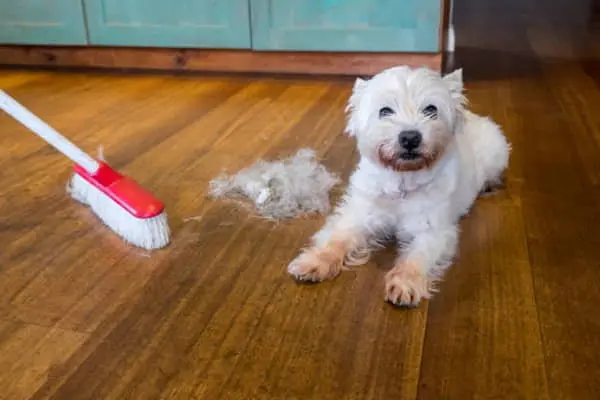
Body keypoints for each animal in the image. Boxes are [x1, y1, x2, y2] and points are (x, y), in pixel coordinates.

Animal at [288, 67, 508, 308]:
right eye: (385, 111)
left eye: (431, 109)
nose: (410, 137)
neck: (402, 182)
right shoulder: (359, 215)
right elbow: (337, 239)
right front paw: (314, 262)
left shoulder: (434, 231)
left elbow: (416, 258)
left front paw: (405, 284)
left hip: (497, 154)